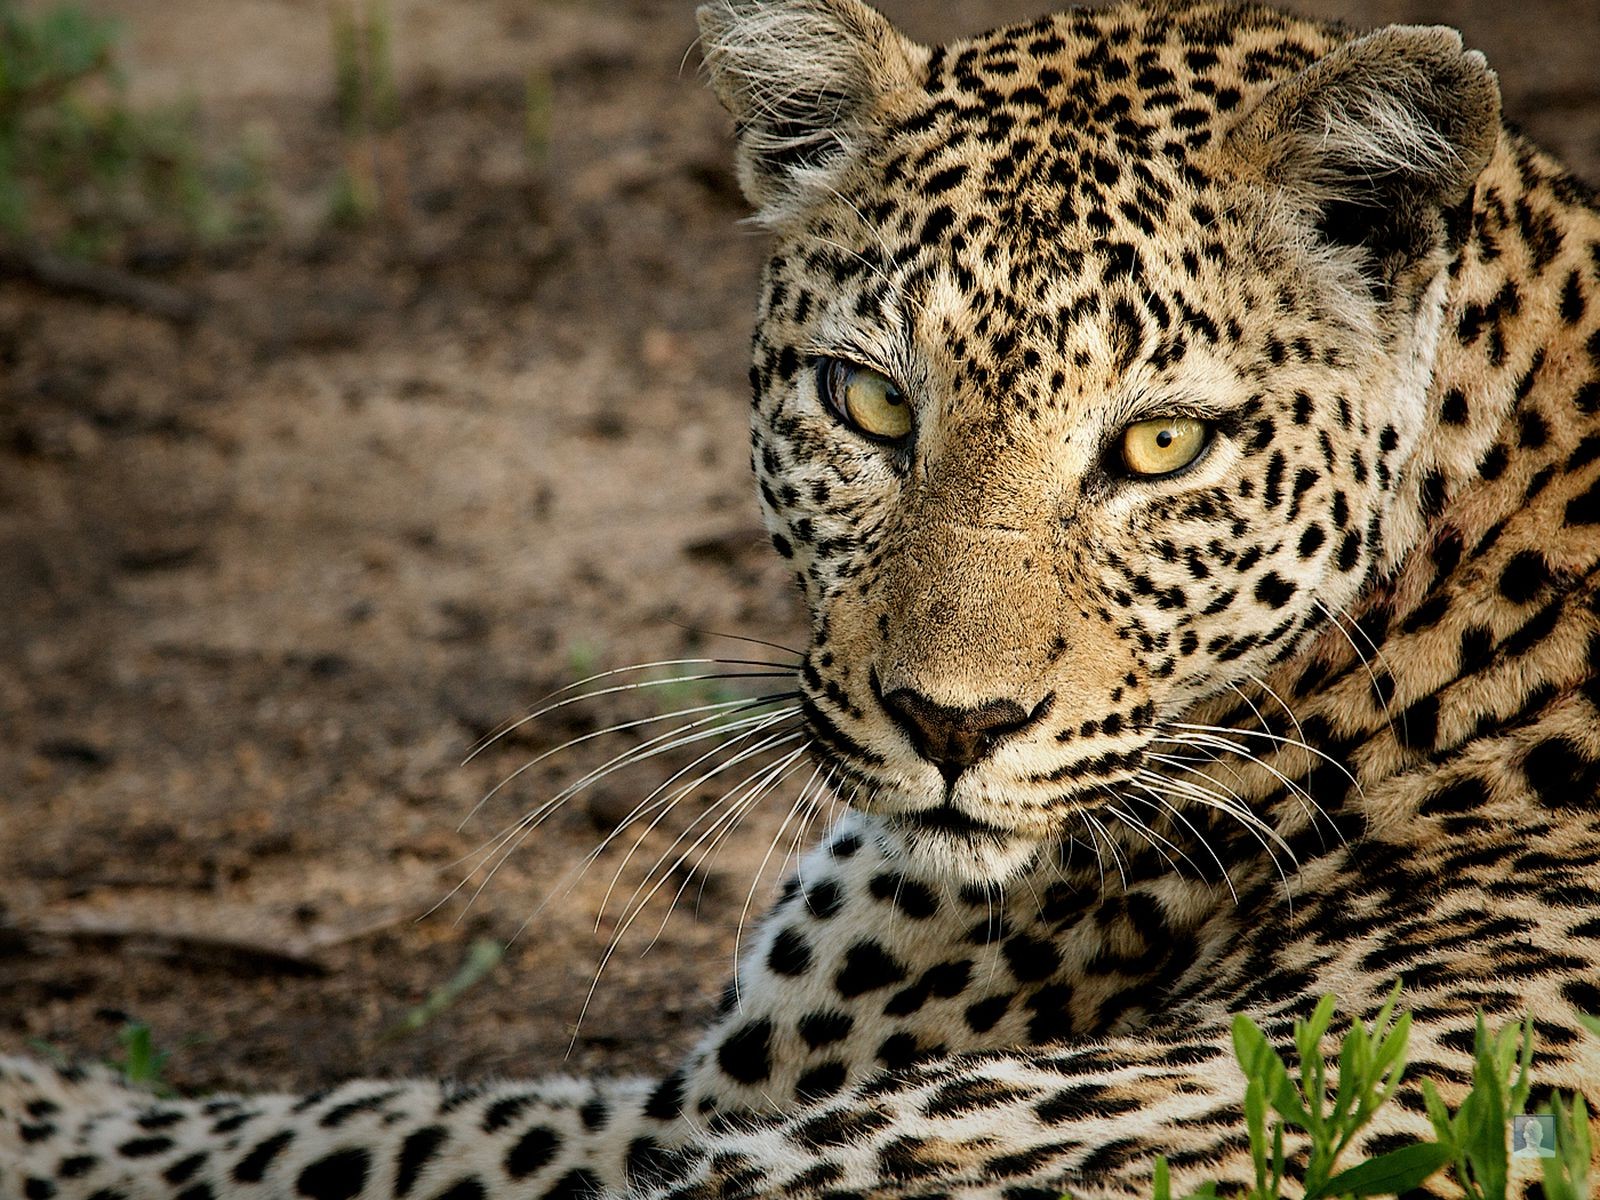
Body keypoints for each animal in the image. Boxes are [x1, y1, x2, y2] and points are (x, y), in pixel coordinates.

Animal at [4, 1, 1600, 1198]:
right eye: (871, 404)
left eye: (1160, 446)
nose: (952, 727)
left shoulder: (687, 1111)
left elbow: (365, 1123)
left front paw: (35, 1104)